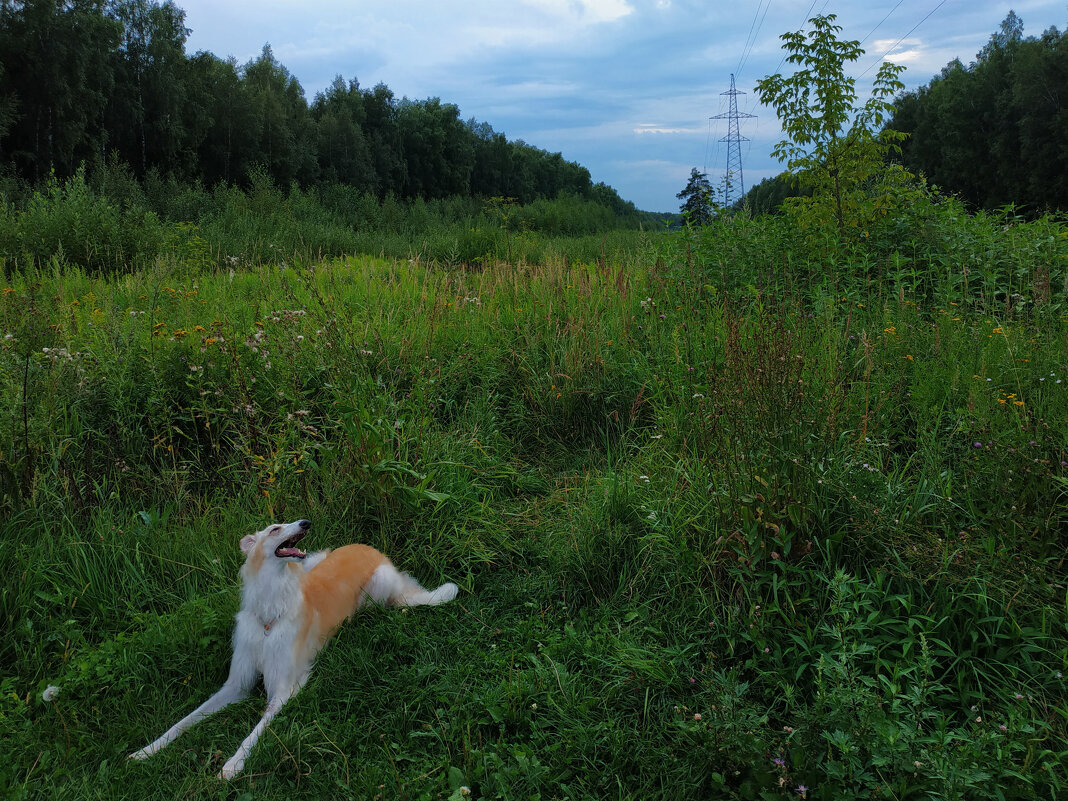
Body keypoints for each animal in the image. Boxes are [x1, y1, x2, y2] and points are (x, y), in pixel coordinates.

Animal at [128, 521, 454, 777]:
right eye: (274, 528)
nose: (306, 522)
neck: (269, 616)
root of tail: (371, 548)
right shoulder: (236, 685)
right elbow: (185, 721)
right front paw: (147, 750)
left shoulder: (284, 690)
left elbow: (253, 733)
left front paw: (232, 765)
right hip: (314, 559)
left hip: (377, 584)